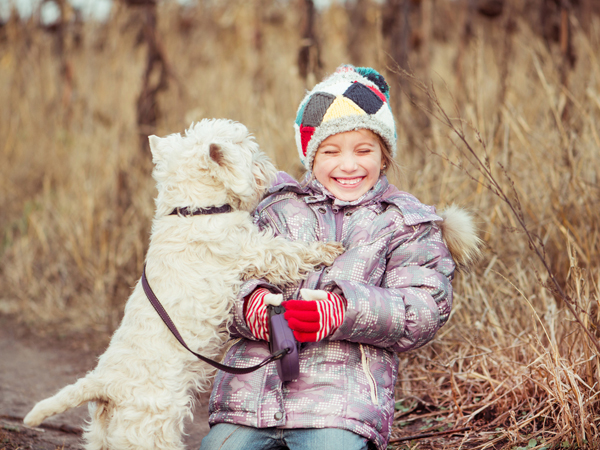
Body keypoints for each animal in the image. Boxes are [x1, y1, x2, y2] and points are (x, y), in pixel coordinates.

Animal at [23, 118, 344, 450]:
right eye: (248, 150)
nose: (269, 169)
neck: (194, 210)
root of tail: (104, 384)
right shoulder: (251, 251)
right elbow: (286, 252)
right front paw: (327, 249)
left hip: (104, 432)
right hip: (152, 424)